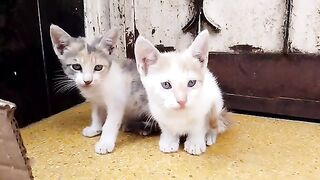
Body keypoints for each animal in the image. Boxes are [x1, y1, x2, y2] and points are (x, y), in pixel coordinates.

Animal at [48, 24, 151, 154]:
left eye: (98, 67)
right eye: (76, 66)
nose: (87, 81)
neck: (99, 86)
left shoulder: (117, 102)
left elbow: (110, 123)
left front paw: (105, 143)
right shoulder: (96, 101)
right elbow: (96, 114)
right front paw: (95, 129)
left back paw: (143, 128)